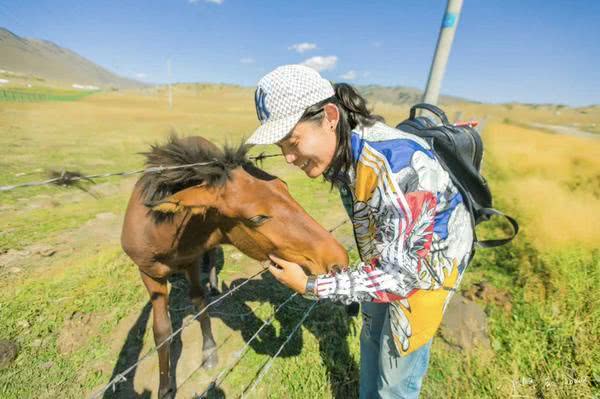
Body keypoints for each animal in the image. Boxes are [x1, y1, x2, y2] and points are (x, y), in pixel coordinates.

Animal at [120, 136, 350, 398]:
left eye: (284, 186)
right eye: (257, 218)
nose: (337, 258)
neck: (159, 232)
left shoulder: (191, 261)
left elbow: (199, 302)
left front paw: (209, 352)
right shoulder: (149, 274)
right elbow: (162, 331)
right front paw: (165, 388)